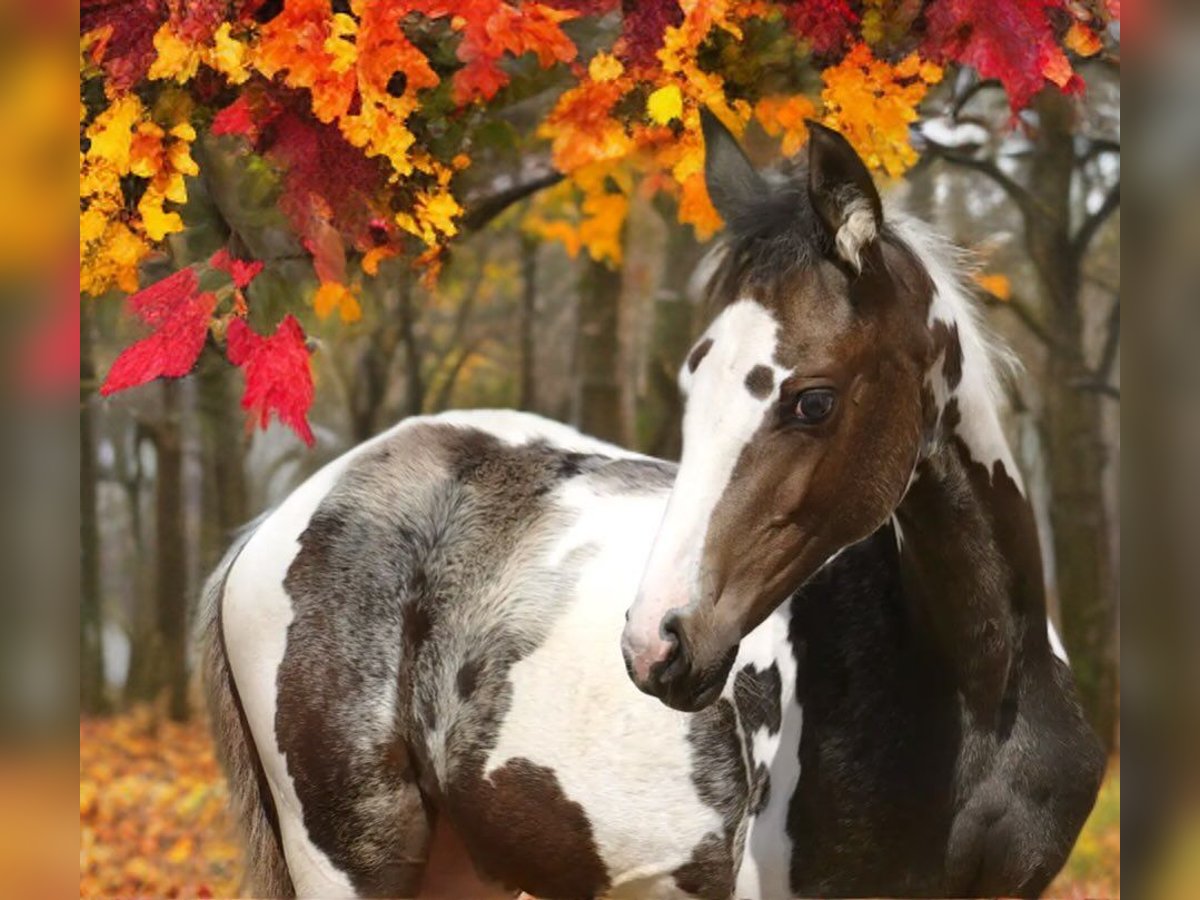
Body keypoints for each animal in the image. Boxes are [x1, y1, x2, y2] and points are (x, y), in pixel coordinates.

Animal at [199, 114, 1104, 900]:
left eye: (812, 401)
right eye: (693, 378)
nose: (656, 645)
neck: (982, 691)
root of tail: (272, 529)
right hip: (352, 862)